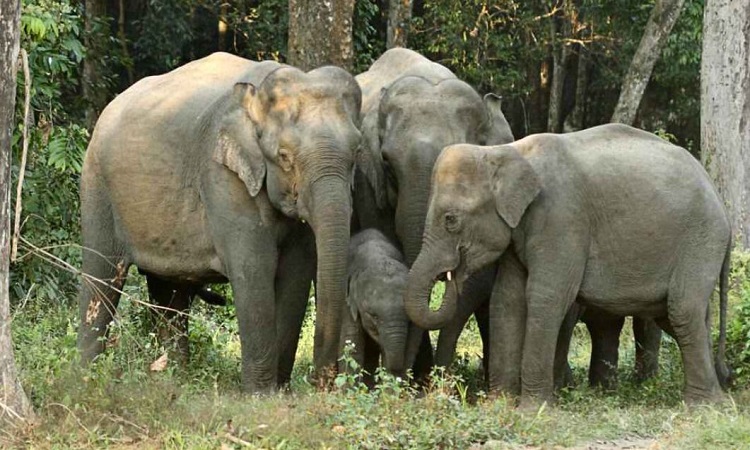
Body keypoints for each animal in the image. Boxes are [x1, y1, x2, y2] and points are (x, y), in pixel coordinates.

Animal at [78, 51, 366, 392]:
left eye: (357, 151)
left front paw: (280, 392)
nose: (322, 383)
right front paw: (261, 395)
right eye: (284, 157)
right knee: (101, 276)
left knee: (169, 292)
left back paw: (174, 377)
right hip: (97, 185)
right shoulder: (222, 176)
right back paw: (85, 375)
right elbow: (254, 267)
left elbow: (296, 271)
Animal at [408, 124, 732, 408]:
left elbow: (545, 297)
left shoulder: (562, 219)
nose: (451, 274)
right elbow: (508, 299)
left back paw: (703, 406)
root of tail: (718, 197)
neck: (508, 152)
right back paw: (717, 395)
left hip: (701, 238)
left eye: (451, 220)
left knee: (682, 309)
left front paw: (533, 409)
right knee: (678, 315)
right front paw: (498, 406)